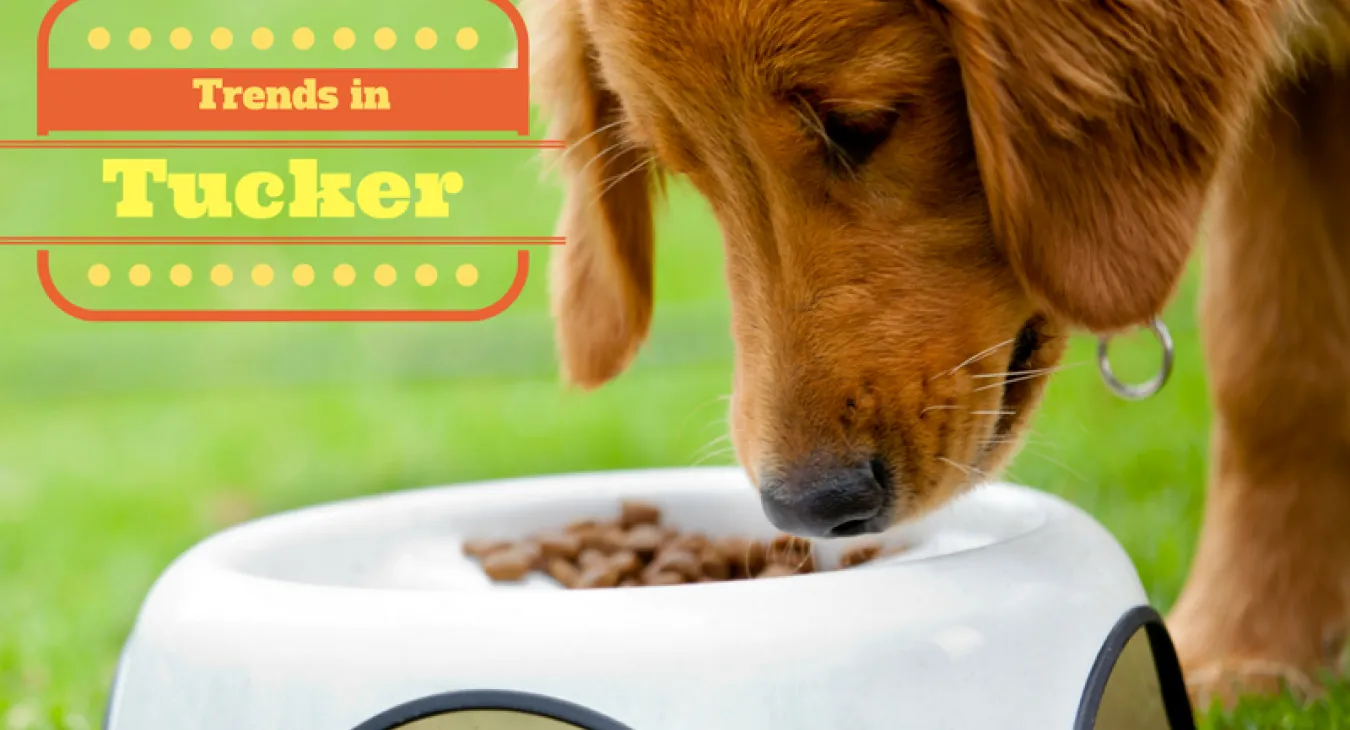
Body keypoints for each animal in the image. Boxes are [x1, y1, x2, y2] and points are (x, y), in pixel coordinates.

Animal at [521, 0, 1350, 707]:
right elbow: (1271, 366)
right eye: (687, 165)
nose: (809, 508)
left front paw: (1243, 649)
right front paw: (1249, 650)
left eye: (861, 125)